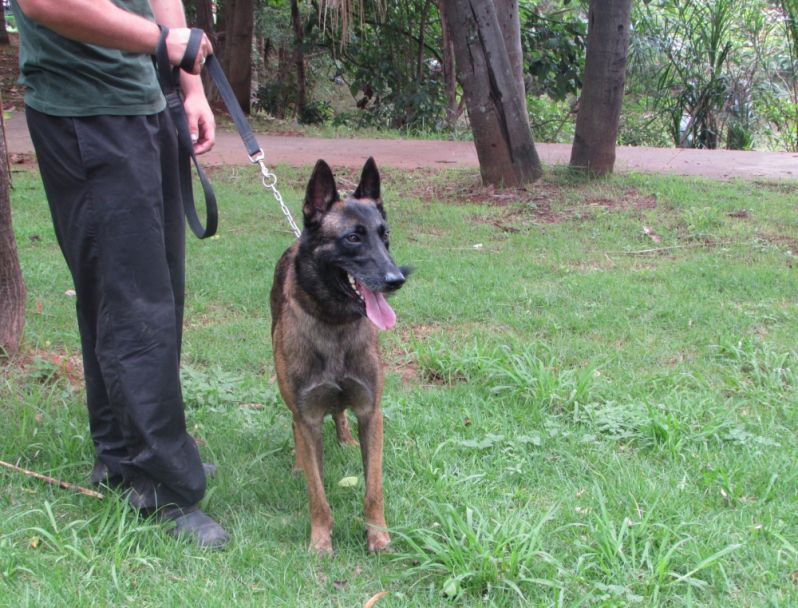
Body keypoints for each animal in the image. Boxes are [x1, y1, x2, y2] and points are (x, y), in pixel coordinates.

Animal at [270, 158, 410, 556]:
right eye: (353, 238)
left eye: (384, 235)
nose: (396, 279)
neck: (334, 323)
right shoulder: (307, 416)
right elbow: (317, 494)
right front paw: (320, 541)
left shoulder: (371, 413)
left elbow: (374, 488)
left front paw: (378, 535)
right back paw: (300, 463)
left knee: (340, 412)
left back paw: (345, 439)